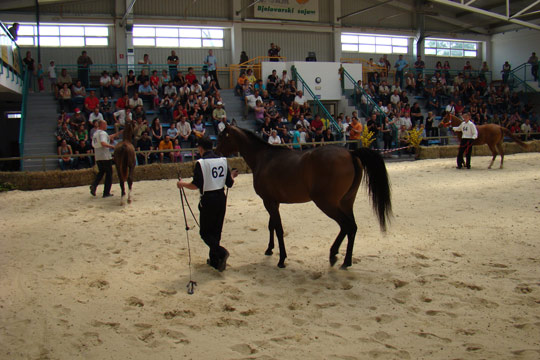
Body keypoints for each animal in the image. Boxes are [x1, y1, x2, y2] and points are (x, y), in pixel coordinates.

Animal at [216, 125, 392, 268]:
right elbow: (271, 226)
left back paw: (334, 255)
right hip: (346, 202)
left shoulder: (269, 202)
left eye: (222, 136)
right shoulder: (273, 202)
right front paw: (269, 249)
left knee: (346, 226)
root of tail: (350, 153)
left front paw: (282, 259)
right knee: (352, 228)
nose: (215, 152)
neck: (263, 158)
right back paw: (346, 261)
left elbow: (278, 229)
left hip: (327, 204)